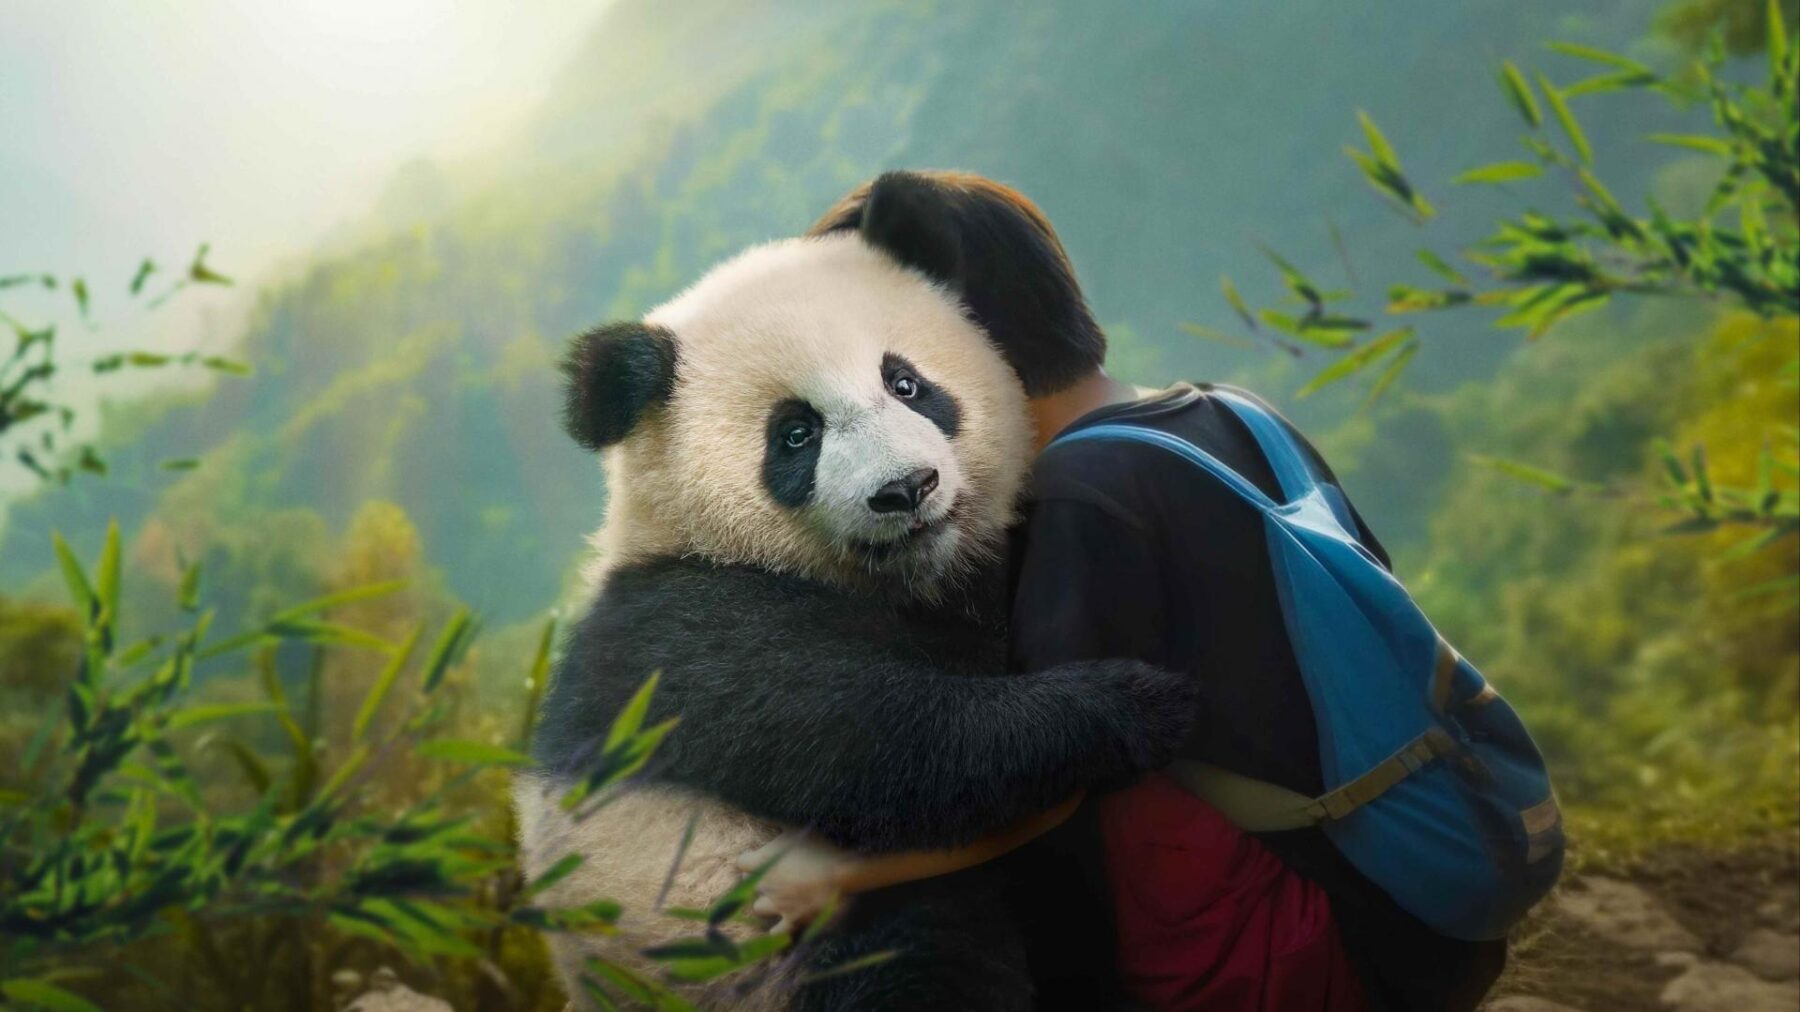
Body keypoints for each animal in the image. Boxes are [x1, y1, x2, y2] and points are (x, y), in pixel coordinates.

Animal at [515, 178, 1194, 1011]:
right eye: (795, 434)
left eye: (905, 383)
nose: (907, 488)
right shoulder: (684, 631)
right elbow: (876, 737)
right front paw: (1136, 703)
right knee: (918, 956)